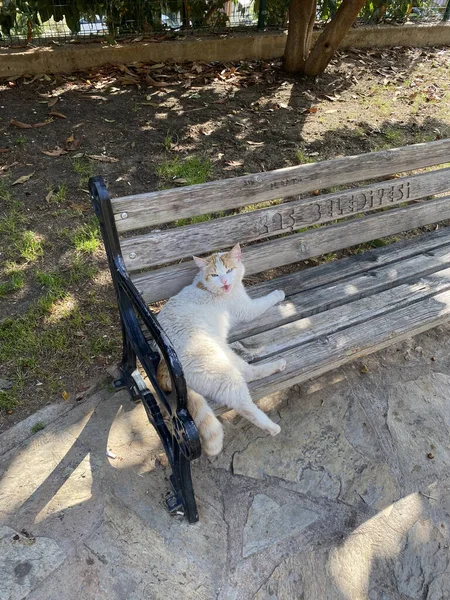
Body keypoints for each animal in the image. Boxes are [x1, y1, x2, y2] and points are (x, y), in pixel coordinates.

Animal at [156, 243, 286, 454]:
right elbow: (264, 301)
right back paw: (271, 426)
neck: (205, 286)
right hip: (219, 368)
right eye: (215, 275)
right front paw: (278, 294)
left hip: (226, 354)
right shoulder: (247, 309)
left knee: (247, 372)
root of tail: (164, 362)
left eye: (229, 271)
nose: (224, 281)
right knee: (243, 401)